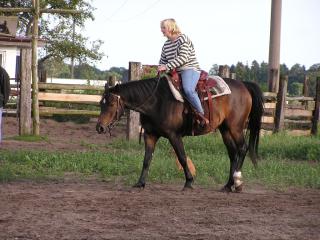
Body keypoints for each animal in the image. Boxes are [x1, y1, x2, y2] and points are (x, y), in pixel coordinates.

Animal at [95, 74, 264, 192]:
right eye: (101, 104)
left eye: (111, 104)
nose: (100, 128)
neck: (156, 101)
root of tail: (243, 85)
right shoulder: (150, 135)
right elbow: (147, 159)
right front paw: (140, 183)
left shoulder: (174, 135)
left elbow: (182, 157)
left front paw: (189, 182)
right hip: (225, 130)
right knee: (233, 154)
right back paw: (229, 185)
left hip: (235, 128)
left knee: (242, 149)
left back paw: (237, 181)